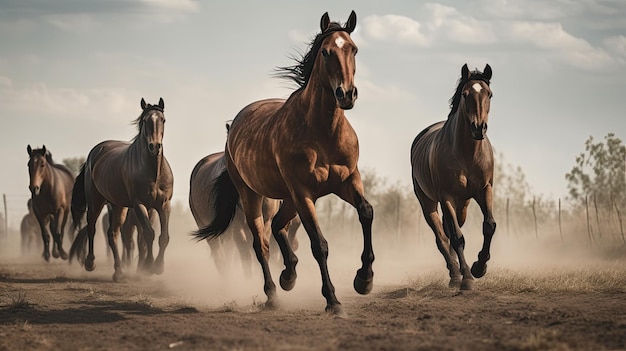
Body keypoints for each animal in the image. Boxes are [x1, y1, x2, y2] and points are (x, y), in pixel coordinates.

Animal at [70, 98, 173, 284]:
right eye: (145, 120)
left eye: (163, 120)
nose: (155, 146)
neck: (153, 172)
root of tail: (95, 153)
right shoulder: (139, 205)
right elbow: (149, 234)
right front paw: (148, 267)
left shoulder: (163, 205)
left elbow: (163, 237)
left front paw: (158, 267)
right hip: (96, 203)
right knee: (92, 229)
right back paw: (90, 263)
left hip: (118, 206)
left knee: (112, 234)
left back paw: (118, 272)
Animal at [193, 11, 372, 320]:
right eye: (326, 52)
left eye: (354, 49)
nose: (346, 94)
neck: (322, 132)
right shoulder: (304, 193)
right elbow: (319, 245)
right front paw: (333, 301)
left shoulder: (348, 181)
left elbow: (366, 212)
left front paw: (364, 279)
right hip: (253, 196)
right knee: (260, 244)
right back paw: (273, 294)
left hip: (287, 198)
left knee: (278, 227)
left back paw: (289, 276)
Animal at [410, 64, 492, 292]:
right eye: (465, 94)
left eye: (489, 94)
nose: (478, 128)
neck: (467, 153)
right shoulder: (445, 196)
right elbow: (456, 237)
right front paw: (467, 279)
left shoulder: (485, 189)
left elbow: (489, 226)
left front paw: (479, 267)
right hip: (428, 202)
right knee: (442, 238)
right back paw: (455, 275)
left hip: (462, 204)